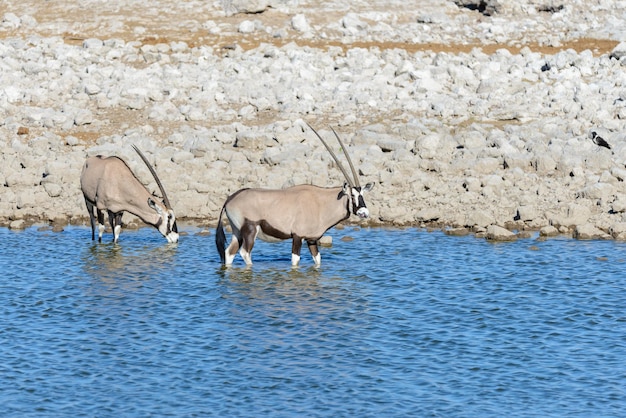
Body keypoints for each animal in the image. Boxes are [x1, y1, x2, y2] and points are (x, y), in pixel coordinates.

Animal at [216, 124, 370, 268]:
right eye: (352, 195)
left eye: (362, 194)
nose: (364, 213)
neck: (320, 202)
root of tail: (230, 199)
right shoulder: (297, 236)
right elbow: (295, 261)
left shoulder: (312, 239)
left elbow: (318, 260)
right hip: (250, 230)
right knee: (245, 253)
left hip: (237, 233)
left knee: (229, 253)